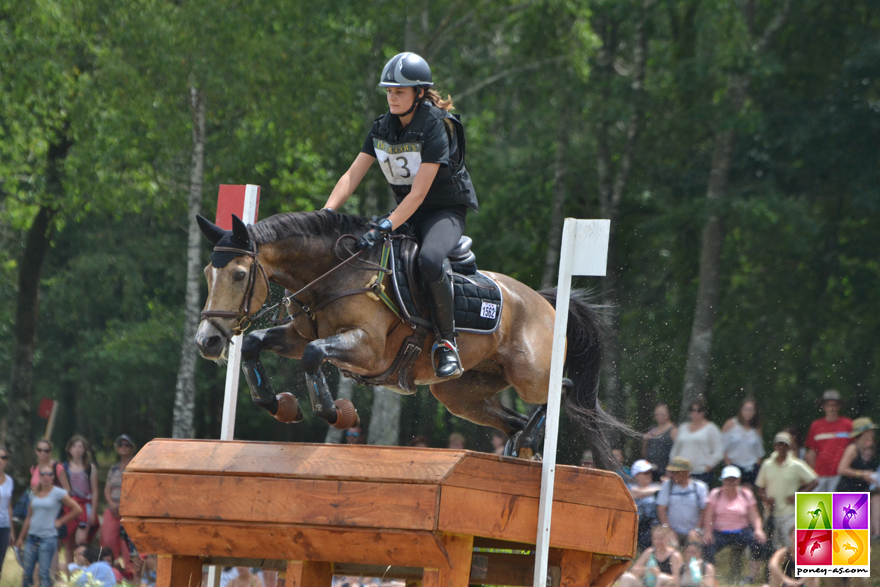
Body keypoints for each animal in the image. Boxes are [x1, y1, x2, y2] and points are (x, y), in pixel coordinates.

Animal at [196, 211, 628, 468]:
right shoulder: (297, 336)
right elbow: (257, 343)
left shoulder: (367, 349)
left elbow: (314, 356)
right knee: (513, 419)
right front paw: (279, 405)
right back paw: (521, 444)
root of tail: (545, 301)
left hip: (530, 374)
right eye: (206, 273)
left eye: (239, 274)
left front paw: (337, 413)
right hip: (459, 394)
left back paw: (529, 439)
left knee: (563, 387)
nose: (207, 342)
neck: (335, 274)